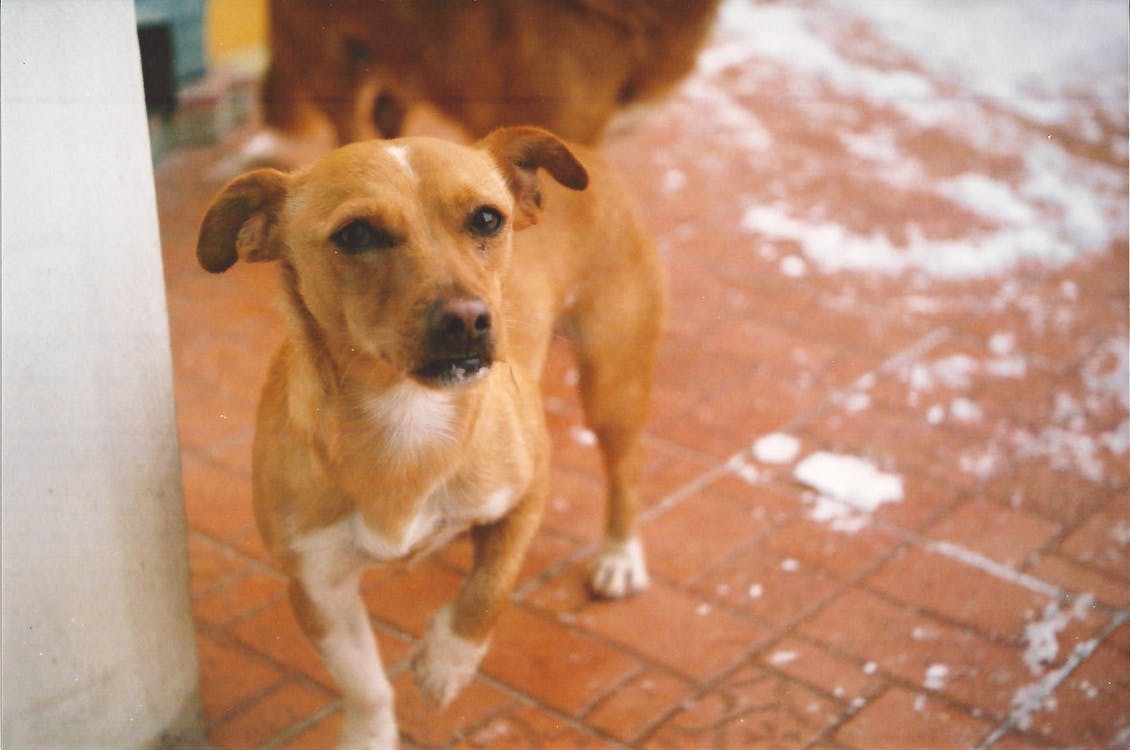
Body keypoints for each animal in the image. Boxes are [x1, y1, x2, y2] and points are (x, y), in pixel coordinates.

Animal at [198, 125, 664, 745]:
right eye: (356, 234)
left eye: (487, 219)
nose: (467, 319)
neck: (406, 416)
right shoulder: (316, 586)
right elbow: (365, 683)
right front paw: (369, 736)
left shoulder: (528, 493)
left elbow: (491, 589)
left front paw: (446, 663)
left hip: (613, 383)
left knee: (627, 468)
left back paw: (619, 555)